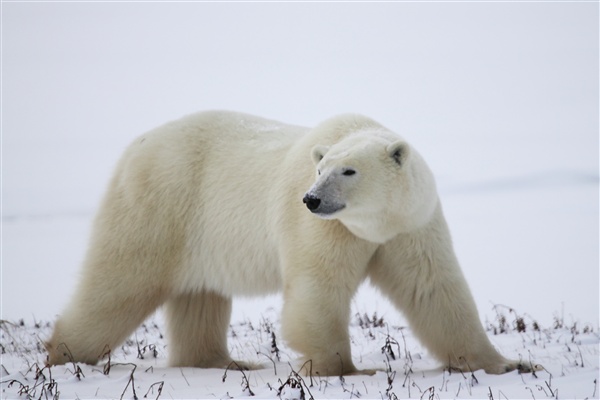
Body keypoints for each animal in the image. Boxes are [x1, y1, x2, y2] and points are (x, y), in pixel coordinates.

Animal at [45, 110, 536, 376]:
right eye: (320, 169)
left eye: (348, 170)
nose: (312, 198)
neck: (373, 224)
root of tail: (135, 147)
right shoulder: (325, 228)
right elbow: (319, 289)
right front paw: (347, 369)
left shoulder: (409, 226)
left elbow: (433, 290)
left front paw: (507, 364)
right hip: (162, 204)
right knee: (120, 282)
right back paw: (64, 355)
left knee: (199, 297)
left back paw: (225, 363)